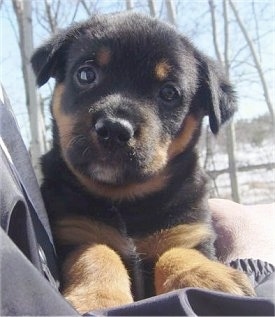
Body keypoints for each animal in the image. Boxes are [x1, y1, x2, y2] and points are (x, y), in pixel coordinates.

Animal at [31, 12, 256, 314]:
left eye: (169, 93)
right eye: (86, 74)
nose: (114, 129)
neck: (127, 201)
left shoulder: (188, 232)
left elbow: (177, 253)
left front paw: (209, 278)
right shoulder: (76, 231)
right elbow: (98, 252)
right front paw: (98, 298)